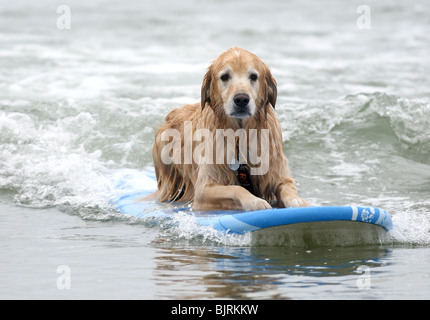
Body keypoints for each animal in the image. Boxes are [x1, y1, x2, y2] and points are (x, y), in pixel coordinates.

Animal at [149, 47, 308, 210]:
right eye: (225, 76)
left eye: (253, 76)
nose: (241, 99)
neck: (241, 133)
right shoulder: (204, 188)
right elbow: (235, 188)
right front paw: (254, 200)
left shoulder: (276, 171)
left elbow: (287, 187)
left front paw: (297, 200)